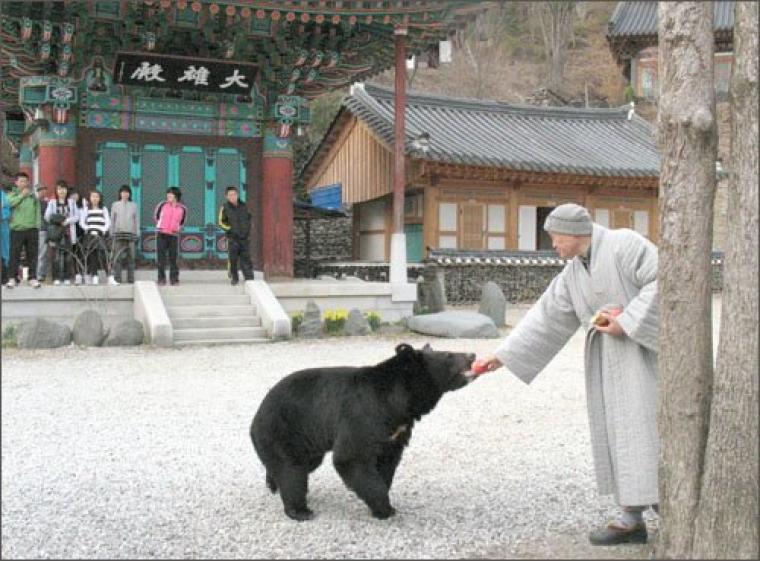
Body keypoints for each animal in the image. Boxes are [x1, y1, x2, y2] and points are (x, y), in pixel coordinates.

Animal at [249, 342, 476, 520]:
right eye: (449, 355)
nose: (472, 355)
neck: (399, 401)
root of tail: (256, 415)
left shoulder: (395, 432)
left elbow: (387, 461)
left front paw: (383, 501)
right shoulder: (364, 415)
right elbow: (351, 457)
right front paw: (385, 508)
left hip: (306, 441)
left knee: (300, 465)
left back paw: (272, 483)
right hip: (282, 430)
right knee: (292, 471)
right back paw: (300, 510)